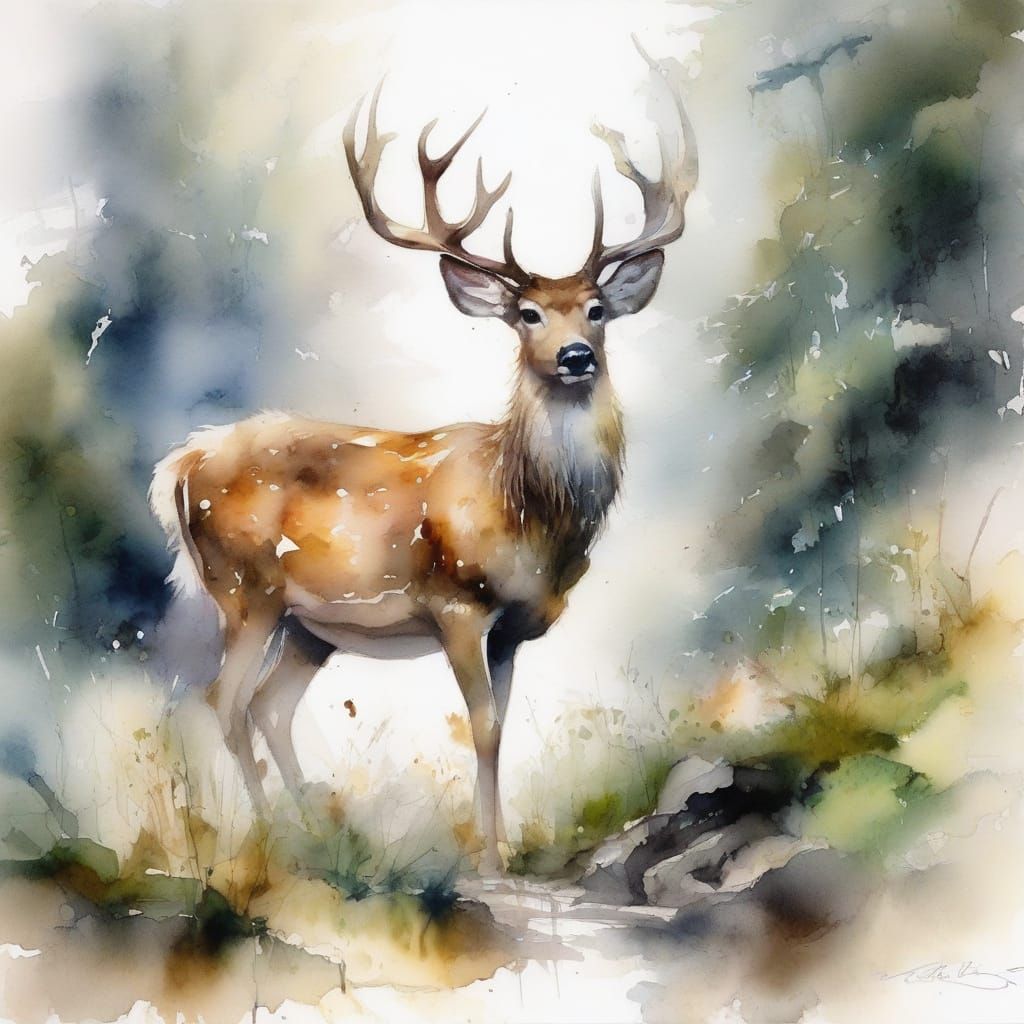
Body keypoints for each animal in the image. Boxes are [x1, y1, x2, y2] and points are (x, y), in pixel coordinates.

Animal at [150, 54, 697, 873]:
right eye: (527, 314)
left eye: (597, 309)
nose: (574, 355)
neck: (527, 518)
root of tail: (178, 467)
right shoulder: (456, 605)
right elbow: (482, 726)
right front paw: (489, 861)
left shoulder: (514, 628)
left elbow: (501, 728)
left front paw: (499, 850)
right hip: (244, 587)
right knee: (228, 700)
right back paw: (275, 838)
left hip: (310, 625)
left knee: (272, 706)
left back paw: (317, 830)